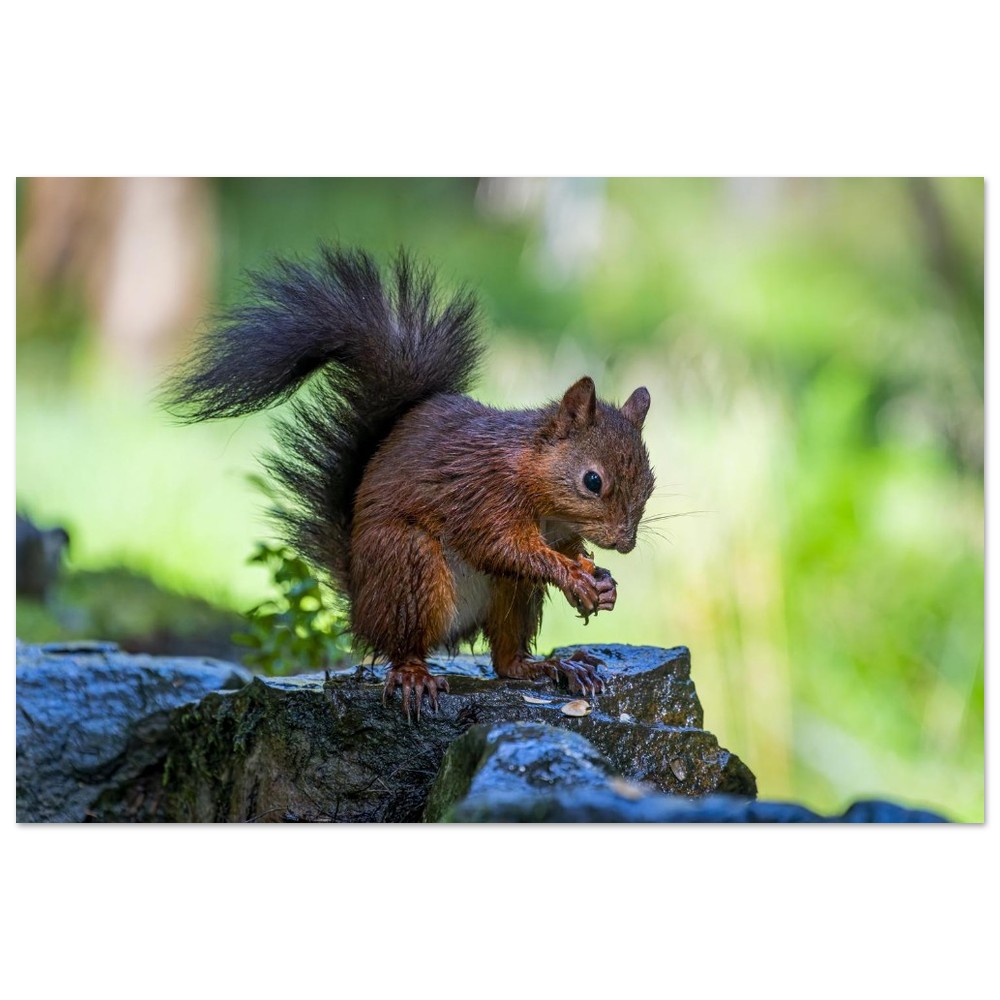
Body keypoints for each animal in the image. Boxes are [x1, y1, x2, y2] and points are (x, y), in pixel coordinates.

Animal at [163, 247, 655, 718]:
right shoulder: (483, 494)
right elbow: (502, 546)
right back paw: (415, 675)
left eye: (650, 483)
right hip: (407, 567)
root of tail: (361, 605)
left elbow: (563, 549)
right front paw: (573, 576)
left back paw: (551, 666)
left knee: (505, 659)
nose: (625, 543)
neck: (538, 486)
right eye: (592, 481)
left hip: (510, 594)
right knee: (404, 646)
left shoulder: (557, 528)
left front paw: (601, 581)